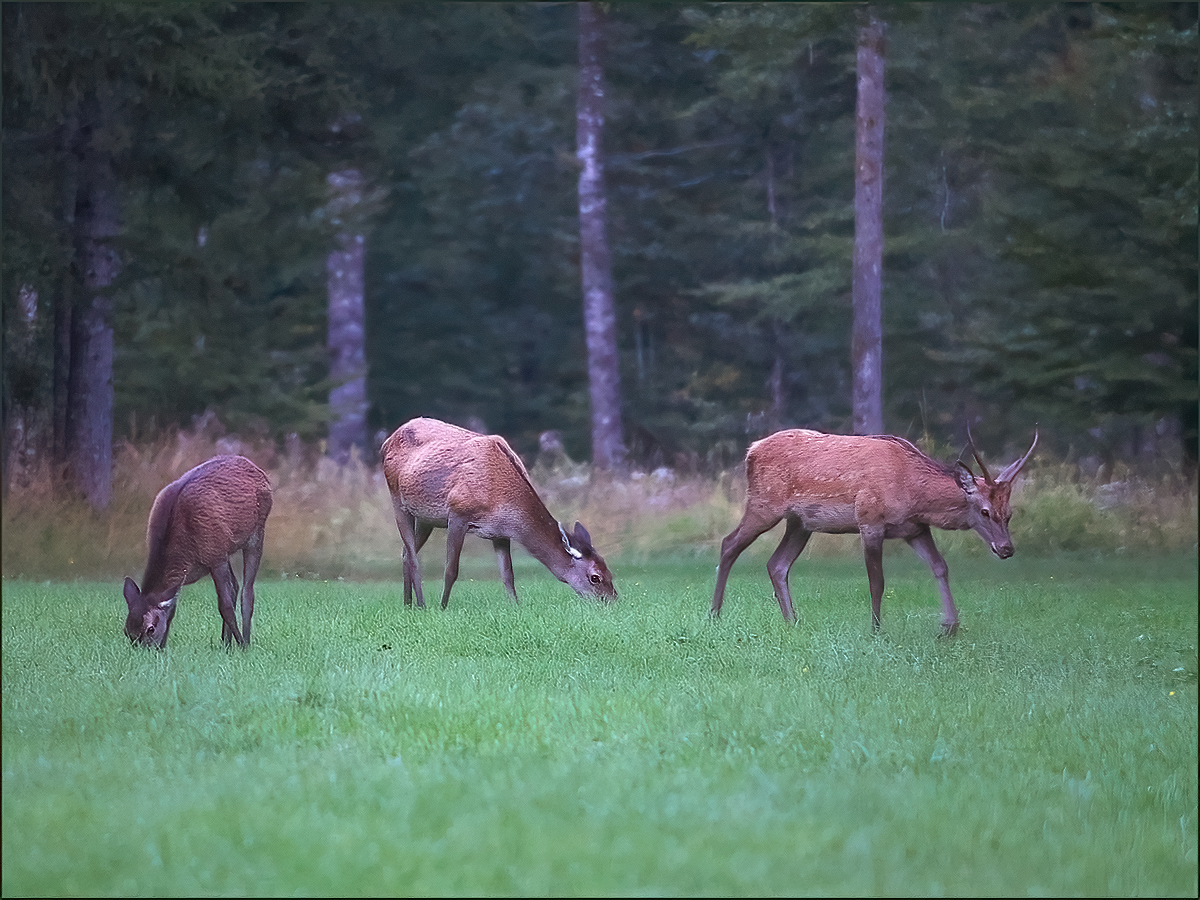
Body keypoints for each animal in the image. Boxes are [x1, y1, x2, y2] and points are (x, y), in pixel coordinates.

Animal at [122, 458, 272, 648]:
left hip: (256, 532)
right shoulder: (214, 554)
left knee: (247, 591)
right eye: (126, 631)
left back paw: (244, 641)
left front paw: (241, 645)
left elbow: (225, 607)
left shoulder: (215, 556)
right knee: (236, 586)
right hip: (225, 548)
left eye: (150, 629)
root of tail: (259, 471)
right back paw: (226, 643)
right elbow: (172, 609)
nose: (147, 650)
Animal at [381, 420, 619, 609]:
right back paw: (421, 604)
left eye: (610, 571)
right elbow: (451, 570)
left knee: (405, 552)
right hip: (397, 499)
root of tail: (385, 442)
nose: (613, 600)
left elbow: (508, 574)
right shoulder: (458, 514)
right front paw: (443, 607)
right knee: (412, 556)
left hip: (425, 518)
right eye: (595, 577)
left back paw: (408, 604)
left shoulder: (500, 533)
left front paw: (516, 607)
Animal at [705, 427, 1036, 633]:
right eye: (984, 511)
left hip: (801, 522)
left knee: (777, 563)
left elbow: (940, 567)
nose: (1006, 549)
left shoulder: (914, 529)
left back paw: (792, 621)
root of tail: (751, 451)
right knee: (729, 543)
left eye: (1009, 513)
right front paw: (876, 629)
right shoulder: (870, 521)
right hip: (765, 504)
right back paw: (714, 615)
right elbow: (877, 582)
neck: (914, 495)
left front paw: (950, 627)